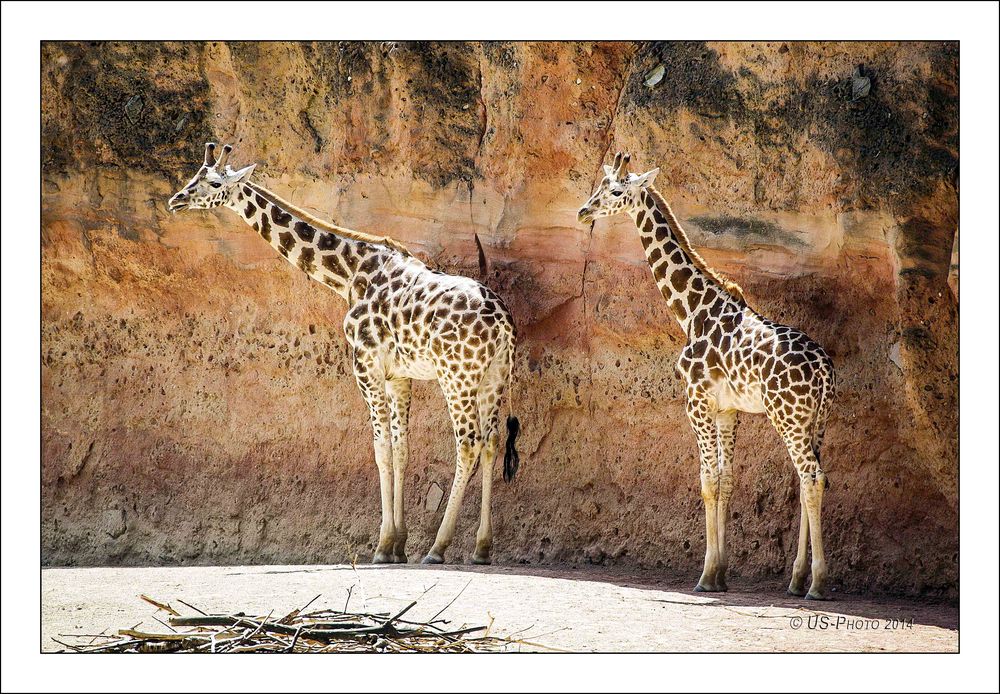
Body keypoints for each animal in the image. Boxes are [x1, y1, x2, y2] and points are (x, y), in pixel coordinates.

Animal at [170, 144, 524, 568]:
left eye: (213, 183)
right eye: (194, 176)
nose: (176, 200)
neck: (349, 274)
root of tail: (502, 321)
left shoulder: (365, 364)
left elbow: (380, 450)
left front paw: (383, 546)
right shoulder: (398, 375)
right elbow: (401, 449)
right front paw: (398, 545)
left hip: (457, 377)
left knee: (468, 444)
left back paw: (438, 548)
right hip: (493, 377)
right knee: (491, 443)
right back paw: (482, 548)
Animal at [580, 155, 836, 600]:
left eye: (614, 191)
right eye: (599, 185)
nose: (583, 211)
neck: (692, 313)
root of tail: (823, 368)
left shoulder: (696, 401)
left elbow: (707, 481)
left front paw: (706, 575)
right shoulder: (726, 410)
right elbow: (727, 481)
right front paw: (721, 574)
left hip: (787, 417)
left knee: (812, 478)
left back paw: (818, 584)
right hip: (815, 421)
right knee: (809, 480)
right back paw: (796, 579)